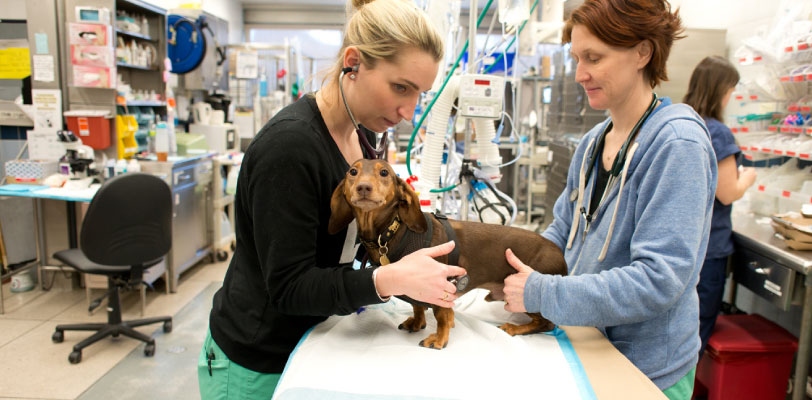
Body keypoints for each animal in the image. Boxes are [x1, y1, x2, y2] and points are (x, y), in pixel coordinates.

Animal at [326, 158, 568, 348]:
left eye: (384, 172)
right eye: (353, 171)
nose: (363, 188)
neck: (392, 232)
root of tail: (560, 255)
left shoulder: (442, 285)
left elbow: (442, 315)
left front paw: (439, 338)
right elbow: (417, 306)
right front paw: (417, 322)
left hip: (522, 294)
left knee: (547, 323)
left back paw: (515, 328)